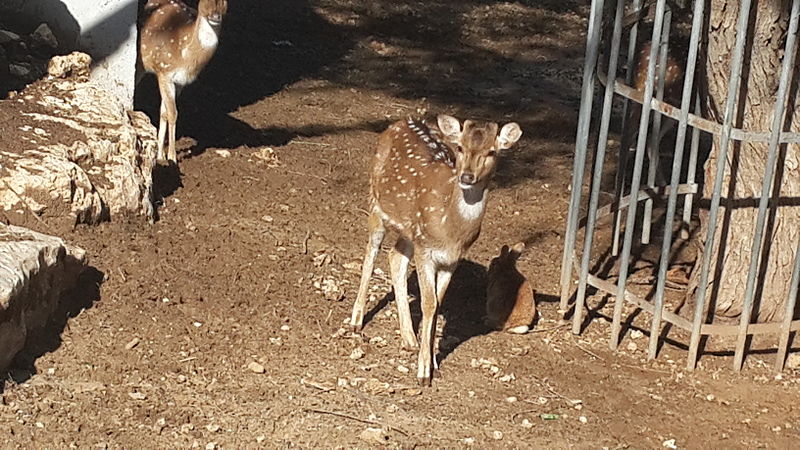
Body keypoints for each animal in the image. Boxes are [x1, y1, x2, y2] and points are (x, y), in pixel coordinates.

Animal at [139, 0, 228, 163]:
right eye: (204, 1)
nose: (215, 16)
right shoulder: (164, 72)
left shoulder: (180, 82)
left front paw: (160, 155)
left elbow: (164, 112)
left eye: (225, 2)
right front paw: (172, 157)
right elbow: (173, 113)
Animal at [350, 114, 524, 384]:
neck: (450, 230)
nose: (467, 176)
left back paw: (409, 339)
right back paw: (356, 320)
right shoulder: (425, 250)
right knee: (372, 251)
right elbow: (429, 303)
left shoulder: (451, 259)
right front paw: (423, 373)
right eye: (460, 147)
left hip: (409, 231)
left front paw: (432, 361)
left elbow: (438, 302)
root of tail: (400, 122)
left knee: (395, 257)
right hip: (376, 202)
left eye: (492, 151)